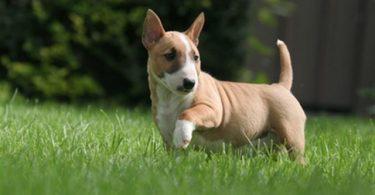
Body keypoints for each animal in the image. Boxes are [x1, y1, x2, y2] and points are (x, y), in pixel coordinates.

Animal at [142, 9, 306, 164]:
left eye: (196, 57)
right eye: (170, 55)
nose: (190, 83)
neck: (170, 97)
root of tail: (281, 86)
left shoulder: (212, 109)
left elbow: (188, 113)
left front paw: (182, 134)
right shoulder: (167, 136)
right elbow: (175, 156)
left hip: (292, 133)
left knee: (299, 156)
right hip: (272, 143)